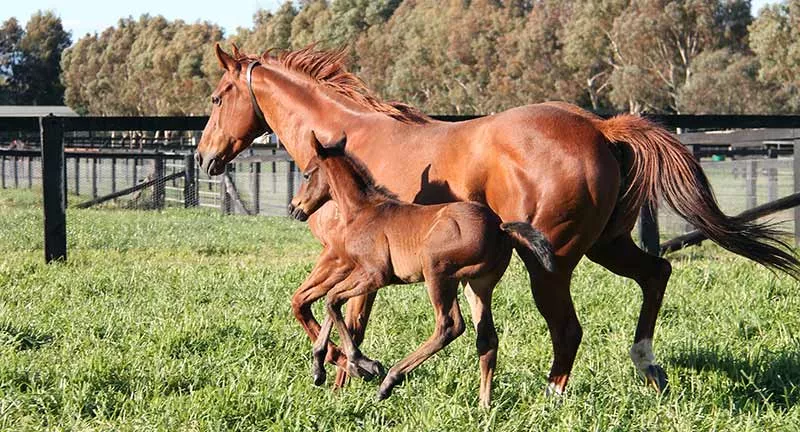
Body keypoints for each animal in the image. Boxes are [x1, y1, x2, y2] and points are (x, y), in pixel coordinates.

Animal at [287, 132, 556, 406]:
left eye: (306, 174)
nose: (293, 208)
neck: (363, 212)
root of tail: (500, 228)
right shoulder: (354, 270)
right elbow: (331, 304)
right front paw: (319, 367)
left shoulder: (375, 274)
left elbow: (332, 301)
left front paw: (362, 362)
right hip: (477, 285)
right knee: (487, 338)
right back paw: (484, 405)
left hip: (437, 272)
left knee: (449, 325)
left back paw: (390, 380)